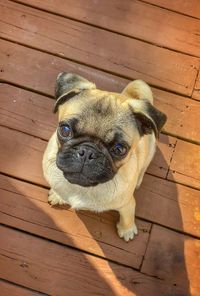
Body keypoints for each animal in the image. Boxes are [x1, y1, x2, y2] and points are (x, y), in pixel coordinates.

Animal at [43, 73, 166, 242]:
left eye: (120, 149)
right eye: (65, 130)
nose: (87, 152)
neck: (82, 188)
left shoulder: (127, 204)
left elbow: (127, 216)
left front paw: (127, 230)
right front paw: (57, 195)